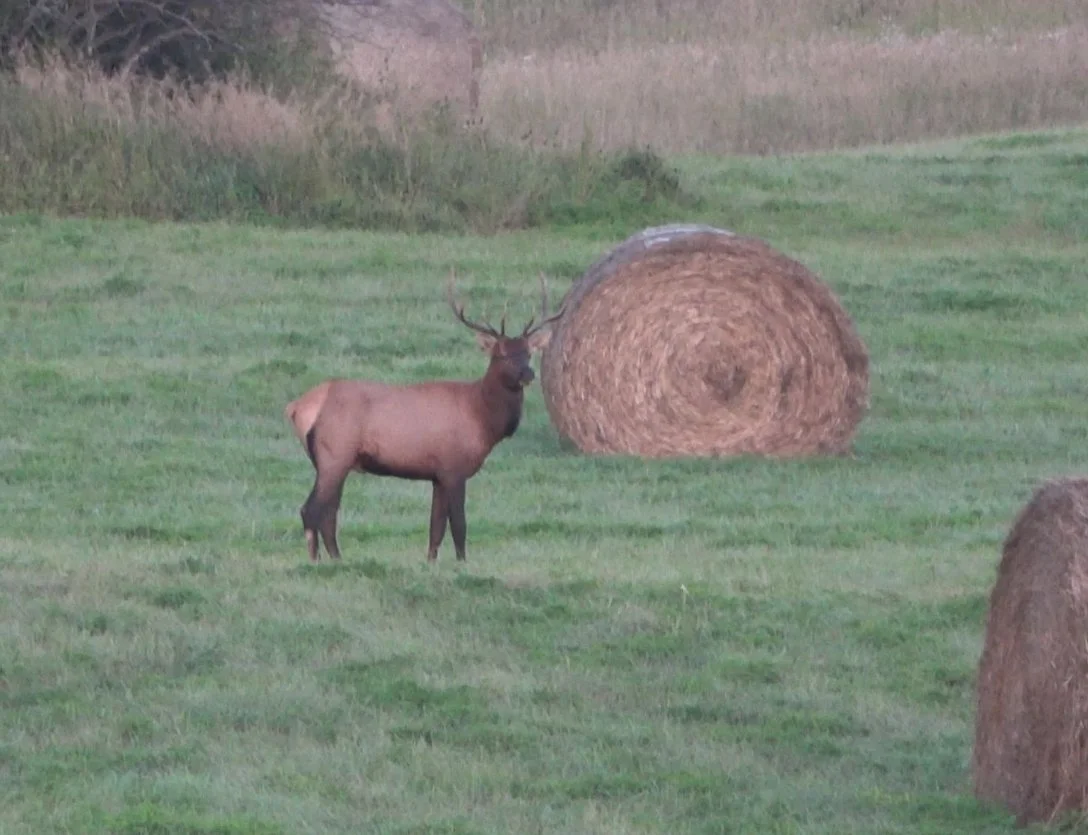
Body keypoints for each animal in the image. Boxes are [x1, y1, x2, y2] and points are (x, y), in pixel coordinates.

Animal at [284, 271, 564, 564]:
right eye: (501, 354)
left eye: (528, 352)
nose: (528, 374)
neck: (482, 419)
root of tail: (298, 407)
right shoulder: (454, 468)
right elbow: (459, 524)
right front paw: (462, 562)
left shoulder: (437, 475)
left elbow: (435, 527)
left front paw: (431, 562)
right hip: (335, 454)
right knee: (311, 509)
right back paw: (317, 561)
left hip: (333, 461)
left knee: (329, 512)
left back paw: (336, 558)